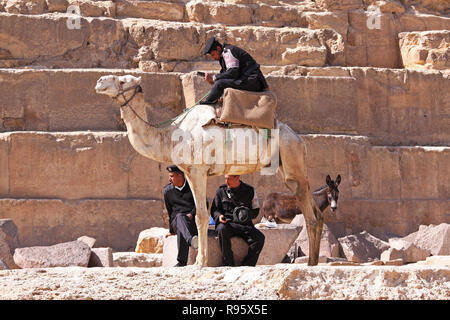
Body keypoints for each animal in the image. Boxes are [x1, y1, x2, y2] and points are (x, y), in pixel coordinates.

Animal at [96, 74, 324, 264]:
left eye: (122, 80)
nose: (99, 81)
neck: (170, 136)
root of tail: (299, 140)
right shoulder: (189, 172)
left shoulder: (198, 170)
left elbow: (201, 216)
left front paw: (200, 262)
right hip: (288, 165)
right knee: (315, 210)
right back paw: (312, 261)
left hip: (292, 157)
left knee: (310, 214)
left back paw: (311, 264)